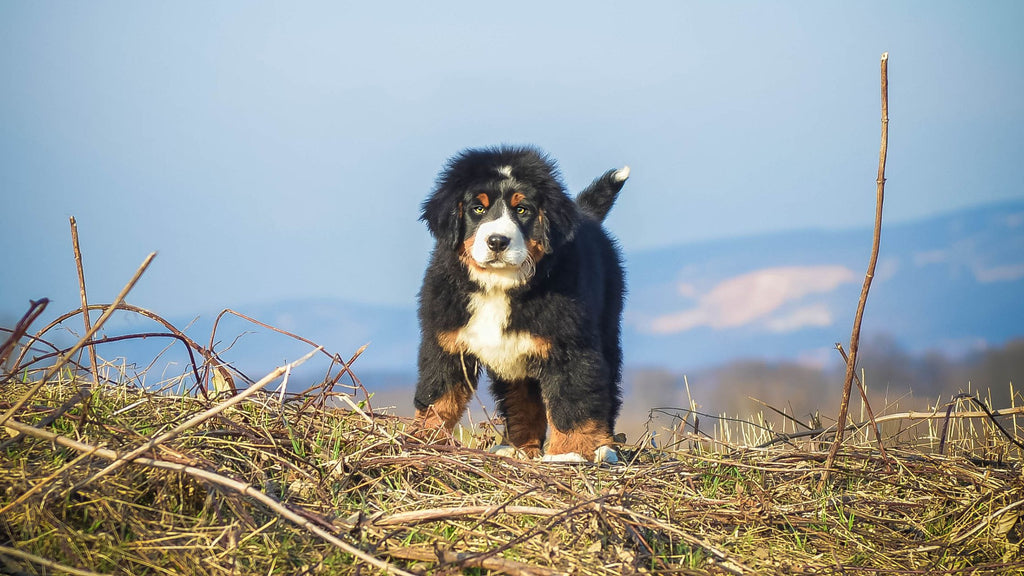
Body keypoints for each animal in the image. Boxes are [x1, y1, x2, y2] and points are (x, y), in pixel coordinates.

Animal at [409, 146, 622, 461]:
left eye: (522, 210)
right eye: (478, 209)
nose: (497, 241)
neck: (499, 285)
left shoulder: (569, 345)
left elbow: (572, 400)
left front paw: (567, 454)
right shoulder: (446, 340)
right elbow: (438, 394)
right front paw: (422, 438)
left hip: (607, 327)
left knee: (606, 390)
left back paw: (604, 448)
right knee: (522, 400)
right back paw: (518, 448)